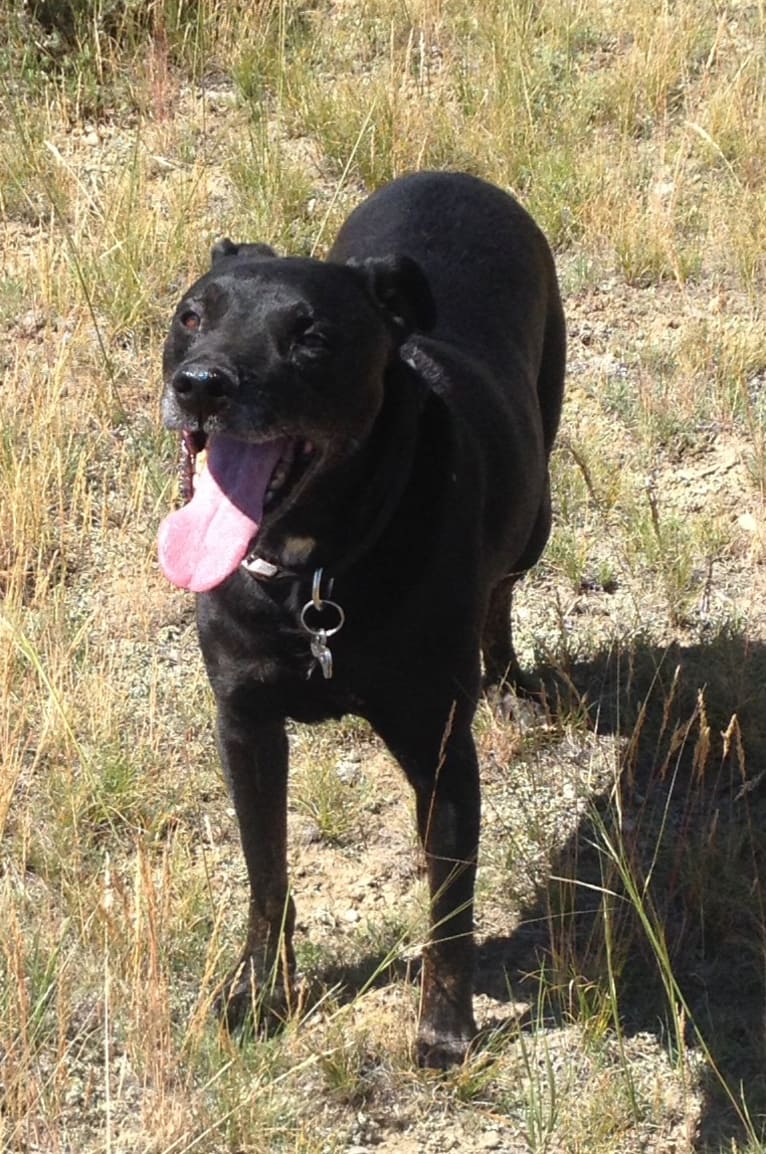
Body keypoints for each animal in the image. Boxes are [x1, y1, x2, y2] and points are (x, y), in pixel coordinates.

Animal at [156, 168, 562, 1061]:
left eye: (310, 336)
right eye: (191, 315)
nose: (201, 385)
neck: (312, 575)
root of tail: (455, 172)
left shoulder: (439, 749)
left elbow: (449, 906)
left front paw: (444, 1031)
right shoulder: (245, 724)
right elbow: (266, 874)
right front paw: (261, 993)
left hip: (537, 505)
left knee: (503, 589)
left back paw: (510, 681)